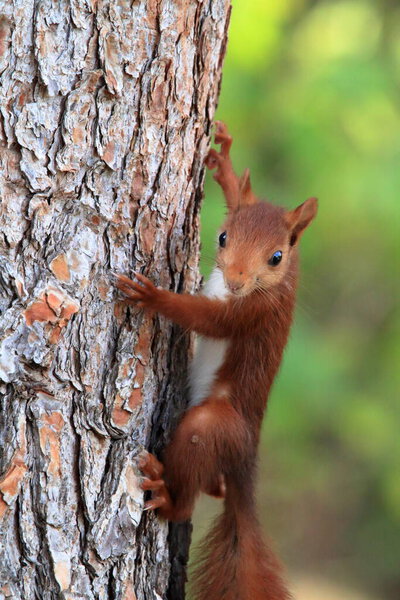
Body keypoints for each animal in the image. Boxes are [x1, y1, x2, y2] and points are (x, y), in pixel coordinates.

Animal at [114, 123, 318, 600]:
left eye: (276, 257)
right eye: (223, 237)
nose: (237, 280)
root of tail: (245, 462)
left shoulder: (252, 313)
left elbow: (204, 317)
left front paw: (154, 296)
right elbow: (240, 194)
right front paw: (224, 164)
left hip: (210, 428)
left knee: (186, 495)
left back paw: (168, 496)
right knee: (215, 487)